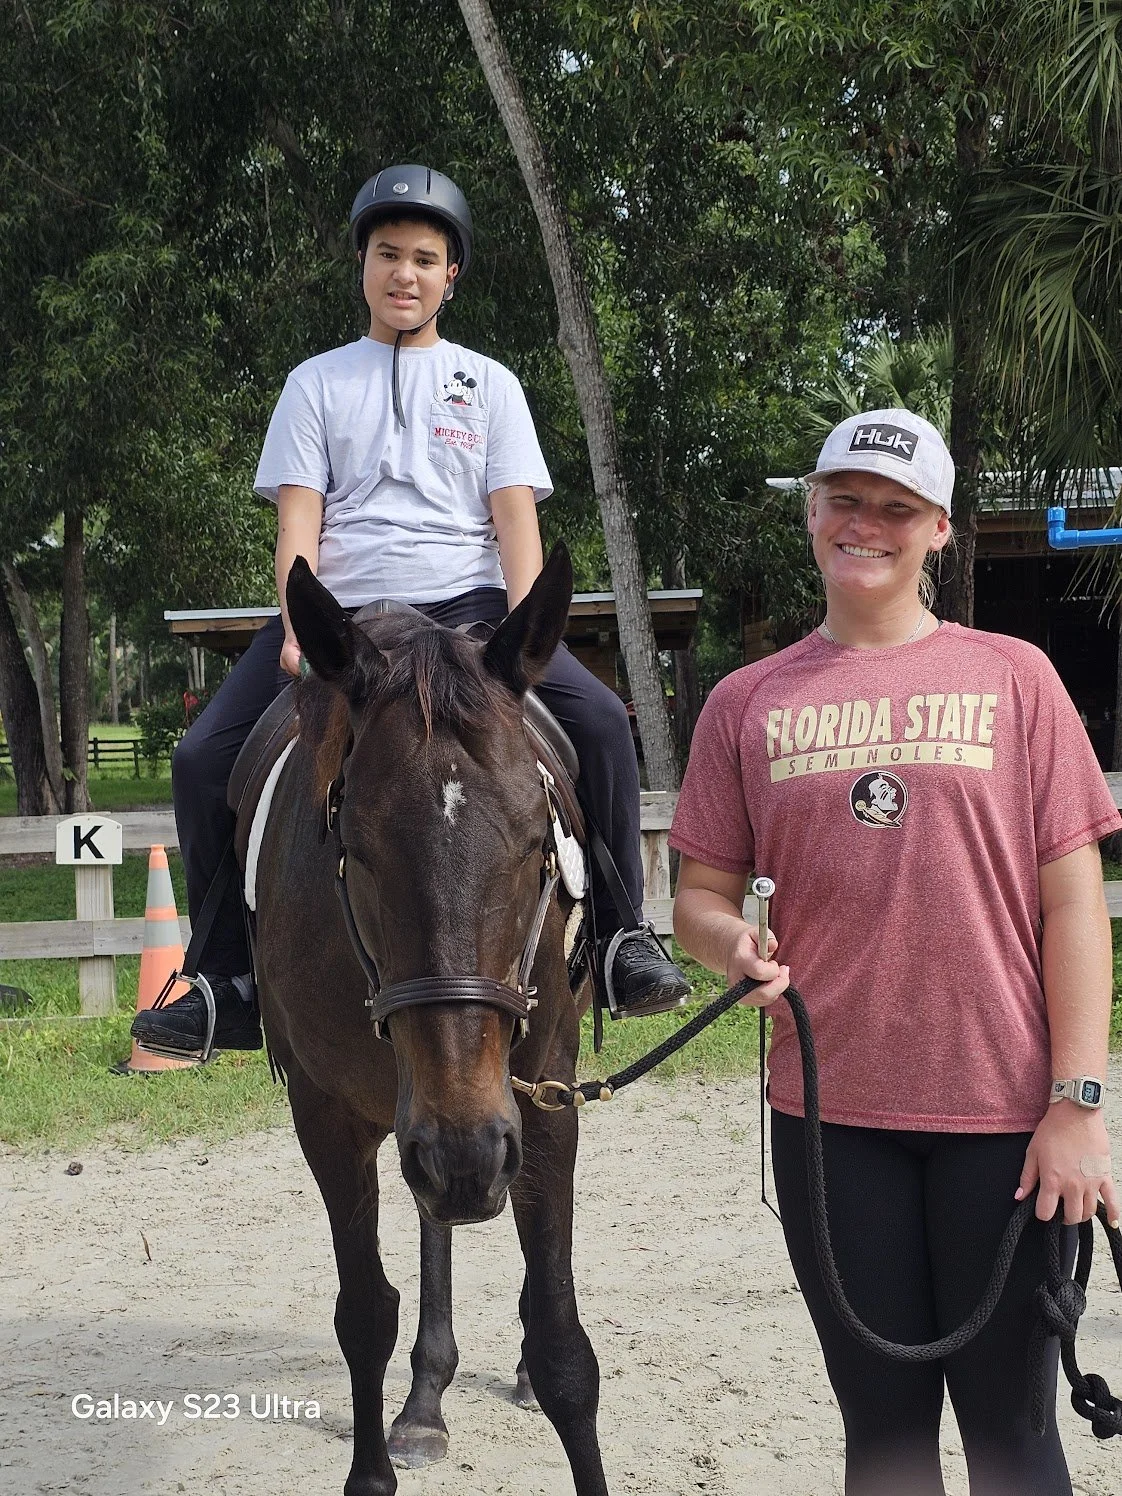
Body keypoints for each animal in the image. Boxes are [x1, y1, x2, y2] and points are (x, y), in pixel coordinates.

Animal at [253, 543, 608, 1496]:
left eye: (536, 842)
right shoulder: (328, 1114)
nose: (466, 1153)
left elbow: (562, 1345)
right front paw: (377, 1464)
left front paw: (539, 1366)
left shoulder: (538, 1098)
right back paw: (423, 1401)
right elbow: (365, 1313)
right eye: (356, 847)